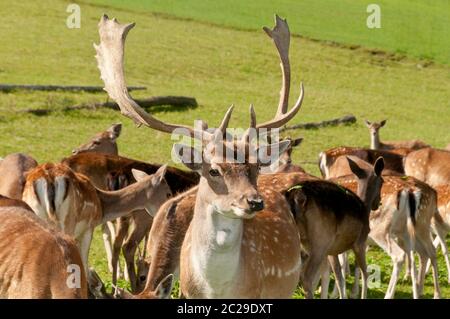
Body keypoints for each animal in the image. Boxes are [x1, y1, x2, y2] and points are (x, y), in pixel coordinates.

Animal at [19, 162, 171, 276]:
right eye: (168, 193)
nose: (167, 209)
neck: (101, 206)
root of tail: (48, 178)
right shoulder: (89, 228)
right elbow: (84, 266)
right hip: (67, 222)